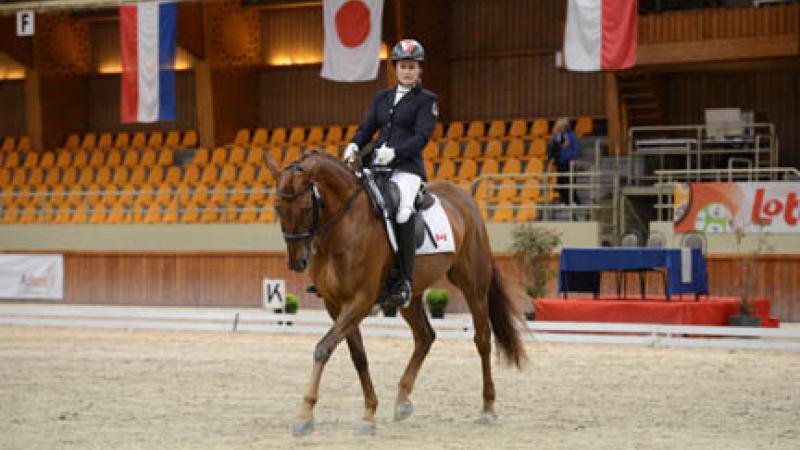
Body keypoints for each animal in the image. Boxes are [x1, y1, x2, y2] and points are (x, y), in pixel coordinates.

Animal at [266, 151, 528, 436]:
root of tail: (465, 198)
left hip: (473, 285)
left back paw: (488, 408)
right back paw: (403, 401)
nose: (297, 262)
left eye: (305, 207)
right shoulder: (335, 304)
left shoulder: (360, 300)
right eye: (278, 208)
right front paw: (369, 413)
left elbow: (323, 348)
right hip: (409, 297)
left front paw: (305, 414)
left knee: (482, 339)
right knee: (425, 336)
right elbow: (358, 356)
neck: (344, 225)